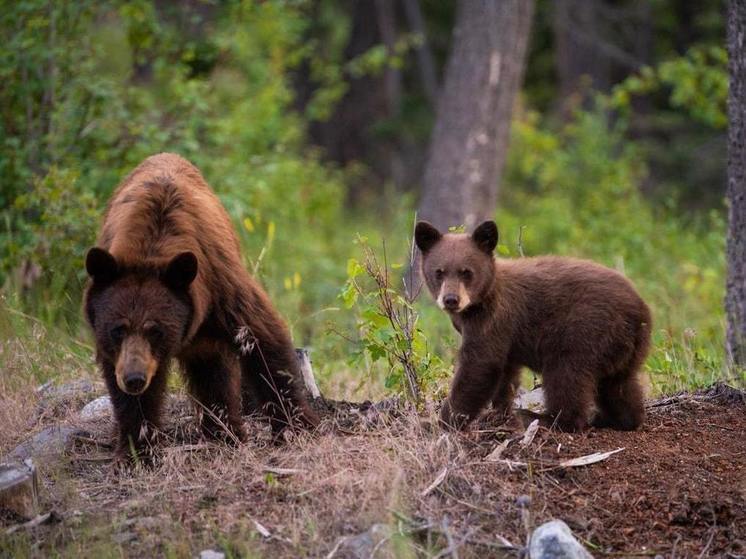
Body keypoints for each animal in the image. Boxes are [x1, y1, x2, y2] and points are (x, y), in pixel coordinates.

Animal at [84, 153, 316, 460]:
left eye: (155, 330)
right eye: (117, 329)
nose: (134, 379)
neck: (151, 249)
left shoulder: (221, 287)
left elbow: (262, 341)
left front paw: (296, 426)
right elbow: (128, 395)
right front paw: (138, 449)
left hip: (208, 335)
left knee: (213, 374)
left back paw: (224, 433)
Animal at [412, 221, 652, 430]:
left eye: (466, 272)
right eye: (439, 272)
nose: (451, 299)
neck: (481, 301)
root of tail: (640, 311)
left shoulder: (494, 319)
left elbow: (479, 366)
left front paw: (443, 421)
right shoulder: (505, 336)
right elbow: (505, 372)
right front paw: (499, 411)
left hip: (585, 333)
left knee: (566, 376)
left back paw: (546, 419)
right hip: (624, 348)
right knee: (618, 385)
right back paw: (619, 419)